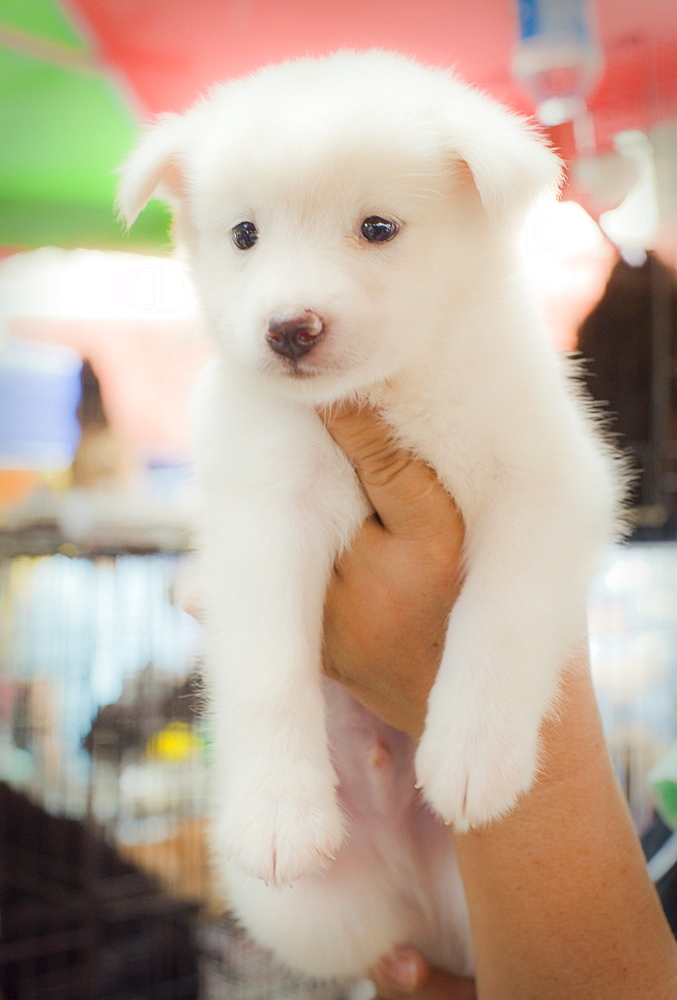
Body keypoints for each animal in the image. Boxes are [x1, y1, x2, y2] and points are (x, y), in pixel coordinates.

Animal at [117, 50, 624, 980]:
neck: (387, 393)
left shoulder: (547, 483)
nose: (289, 329)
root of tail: (415, 895)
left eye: (377, 228)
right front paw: (277, 812)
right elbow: (266, 668)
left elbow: (500, 618)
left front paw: (473, 752)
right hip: (319, 916)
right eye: (244, 235)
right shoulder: (262, 512)